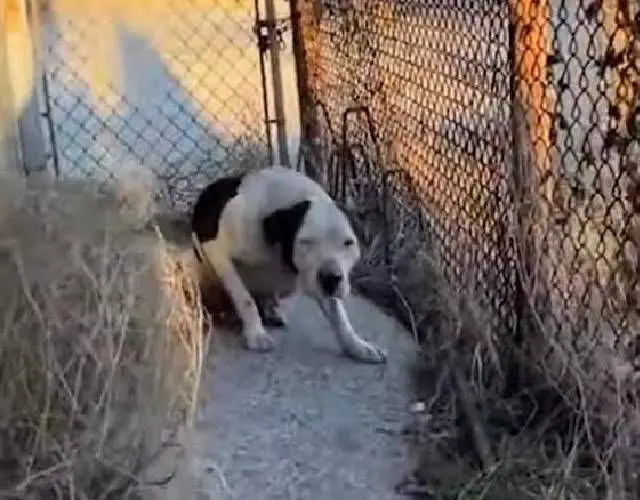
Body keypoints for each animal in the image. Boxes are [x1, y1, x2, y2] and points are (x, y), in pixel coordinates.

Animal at [190, 165, 388, 364]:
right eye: (306, 242)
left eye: (348, 243)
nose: (330, 279)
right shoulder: (216, 250)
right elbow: (244, 298)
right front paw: (256, 334)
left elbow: (339, 315)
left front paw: (357, 345)